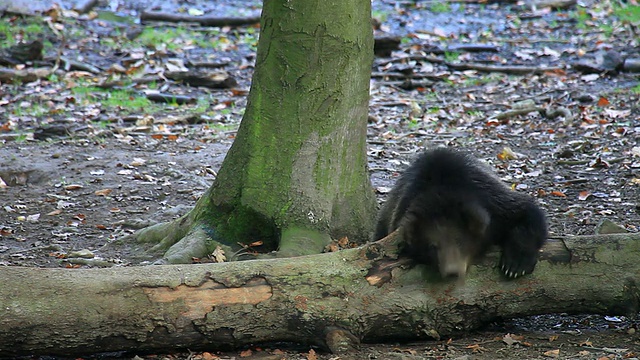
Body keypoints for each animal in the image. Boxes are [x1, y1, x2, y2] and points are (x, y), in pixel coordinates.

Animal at [372, 148, 548, 280]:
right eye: (432, 246)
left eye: (459, 240)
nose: (452, 272)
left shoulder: (494, 201)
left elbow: (526, 212)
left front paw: (516, 264)